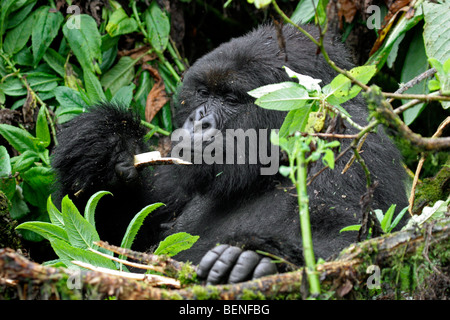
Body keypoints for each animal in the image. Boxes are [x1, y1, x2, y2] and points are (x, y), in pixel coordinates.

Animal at [51, 25, 408, 284]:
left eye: (231, 99)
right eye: (204, 93)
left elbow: (354, 248)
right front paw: (102, 146)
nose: (199, 120)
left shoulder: (357, 148)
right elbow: (111, 242)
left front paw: (257, 261)